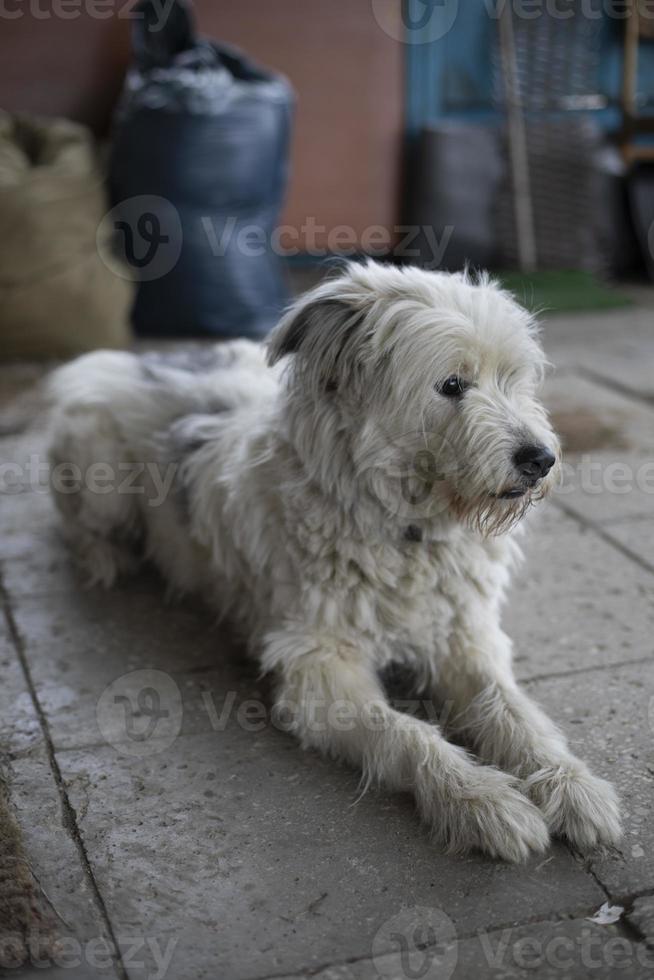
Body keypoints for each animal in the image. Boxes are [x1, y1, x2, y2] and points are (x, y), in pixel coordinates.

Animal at [50, 264, 620, 860]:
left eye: (514, 379)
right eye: (451, 385)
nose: (542, 460)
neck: (404, 533)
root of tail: (126, 356)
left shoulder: (466, 639)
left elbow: (516, 713)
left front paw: (572, 786)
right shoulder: (317, 669)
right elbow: (407, 734)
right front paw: (480, 799)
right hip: (99, 474)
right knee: (77, 527)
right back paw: (108, 558)